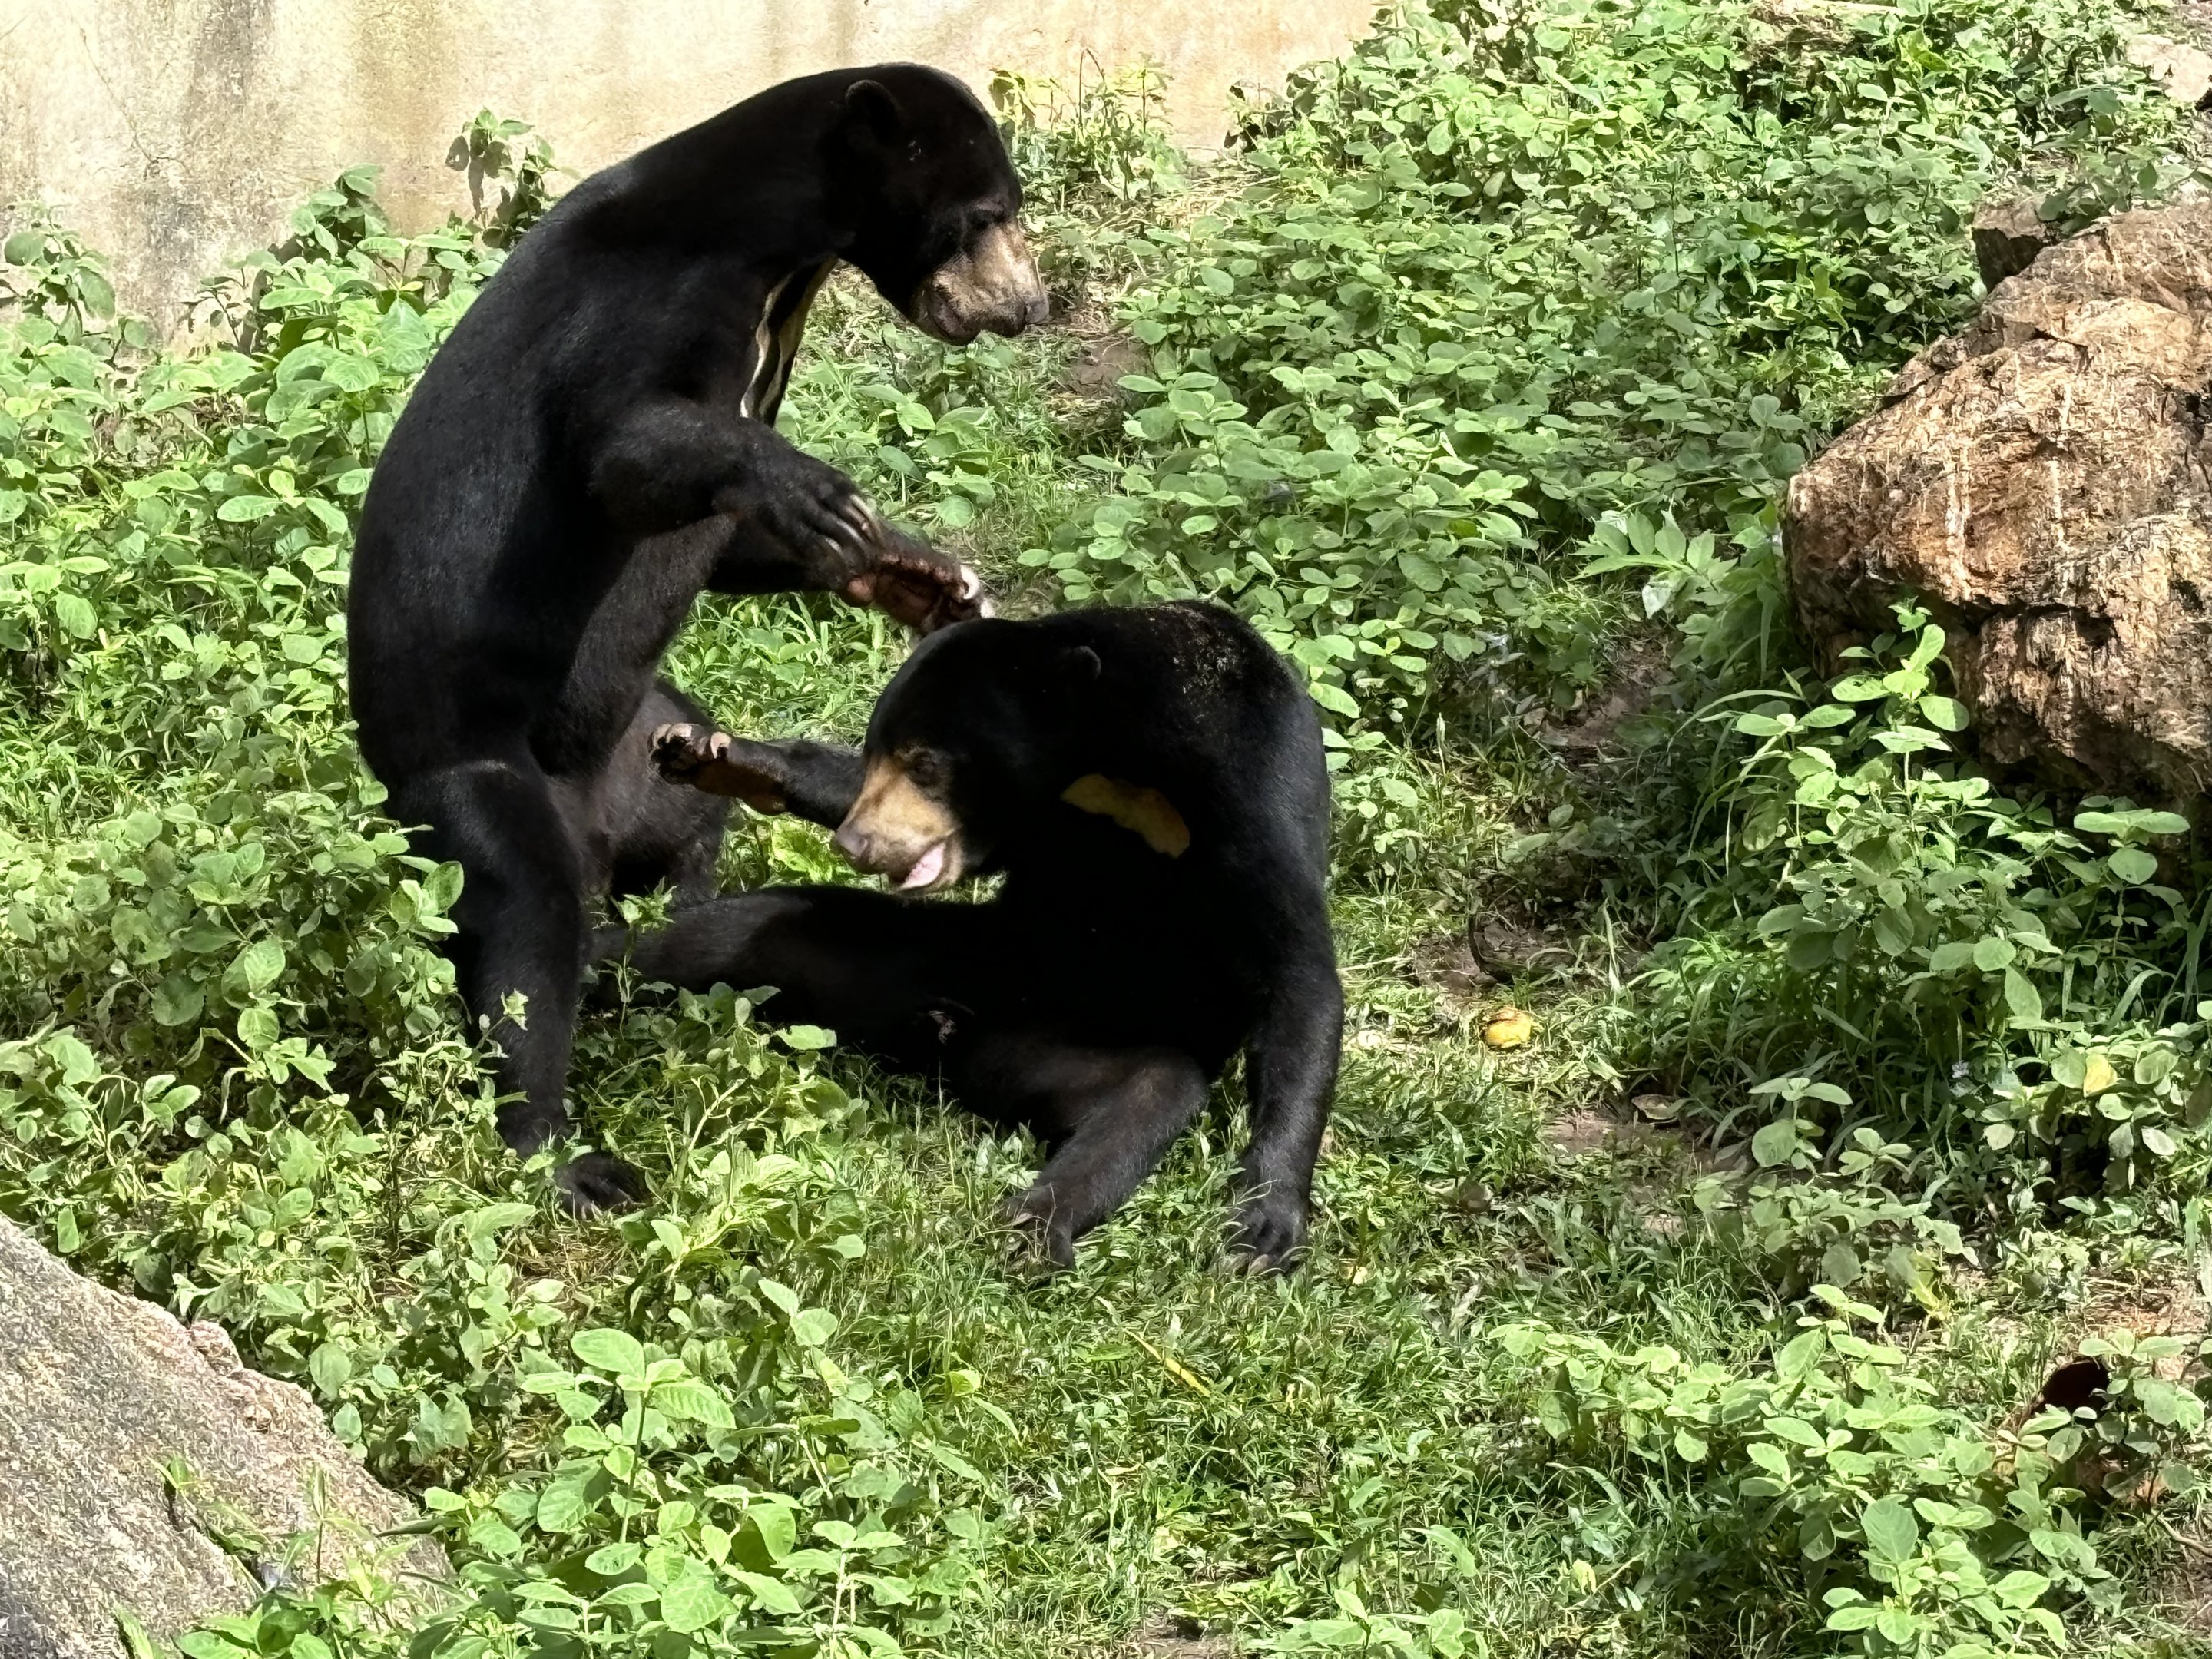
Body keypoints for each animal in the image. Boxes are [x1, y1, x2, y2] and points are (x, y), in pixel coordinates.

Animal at [347, 65, 1047, 1211]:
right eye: (986, 216)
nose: (1026, 306)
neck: (781, 248)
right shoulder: (656, 299)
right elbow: (623, 445)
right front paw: (813, 489)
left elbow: (726, 547)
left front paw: (914, 572)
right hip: (478, 776)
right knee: (525, 929)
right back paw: (567, 1155)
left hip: (648, 741)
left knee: (687, 819)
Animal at [602, 601, 1345, 1270]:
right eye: (878, 753)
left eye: (927, 764)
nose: (857, 844)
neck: (1114, 760)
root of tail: (946, 1047)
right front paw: (710, 754)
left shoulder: (1251, 792)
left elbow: (1299, 979)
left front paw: (1264, 1226)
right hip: (906, 951)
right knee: (730, 931)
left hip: (1066, 1043)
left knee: (1148, 1095)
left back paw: (1033, 1232)